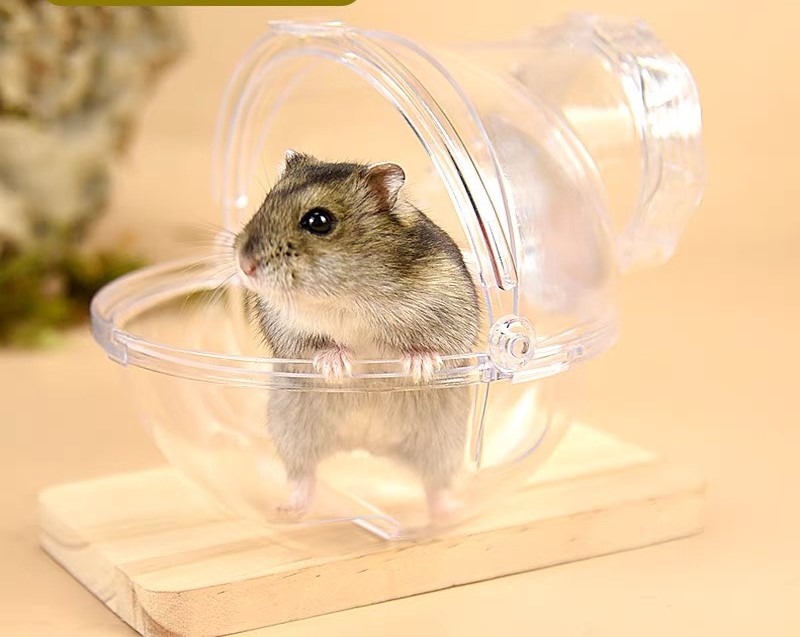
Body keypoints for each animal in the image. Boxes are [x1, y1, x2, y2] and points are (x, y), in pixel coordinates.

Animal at [234, 150, 481, 523]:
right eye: (265, 202)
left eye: (319, 221)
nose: (243, 263)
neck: (347, 292)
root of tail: (369, 446)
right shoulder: (285, 330)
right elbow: (315, 346)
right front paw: (339, 368)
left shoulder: (453, 311)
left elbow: (434, 345)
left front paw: (419, 368)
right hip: (291, 429)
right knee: (303, 475)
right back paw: (288, 511)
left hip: (442, 440)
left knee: (435, 483)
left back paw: (448, 514)